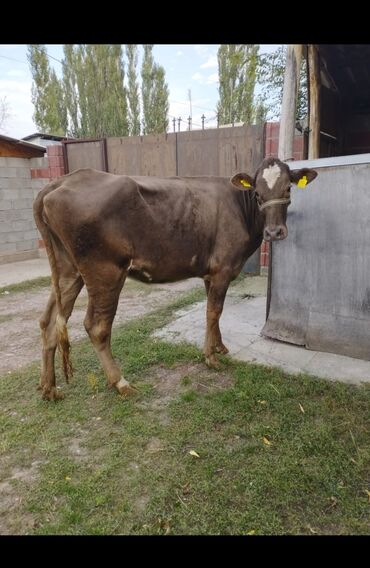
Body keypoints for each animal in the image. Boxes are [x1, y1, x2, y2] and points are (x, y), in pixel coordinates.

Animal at [33, 158, 316, 402]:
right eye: (257, 193)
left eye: (288, 187)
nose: (274, 232)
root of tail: (62, 181)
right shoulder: (223, 269)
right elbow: (213, 312)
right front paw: (210, 358)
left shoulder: (210, 272)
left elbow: (215, 313)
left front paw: (219, 346)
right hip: (104, 271)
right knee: (96, 326)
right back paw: (120, 383)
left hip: (68, 271)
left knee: (48, 321)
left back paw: (49, 388)